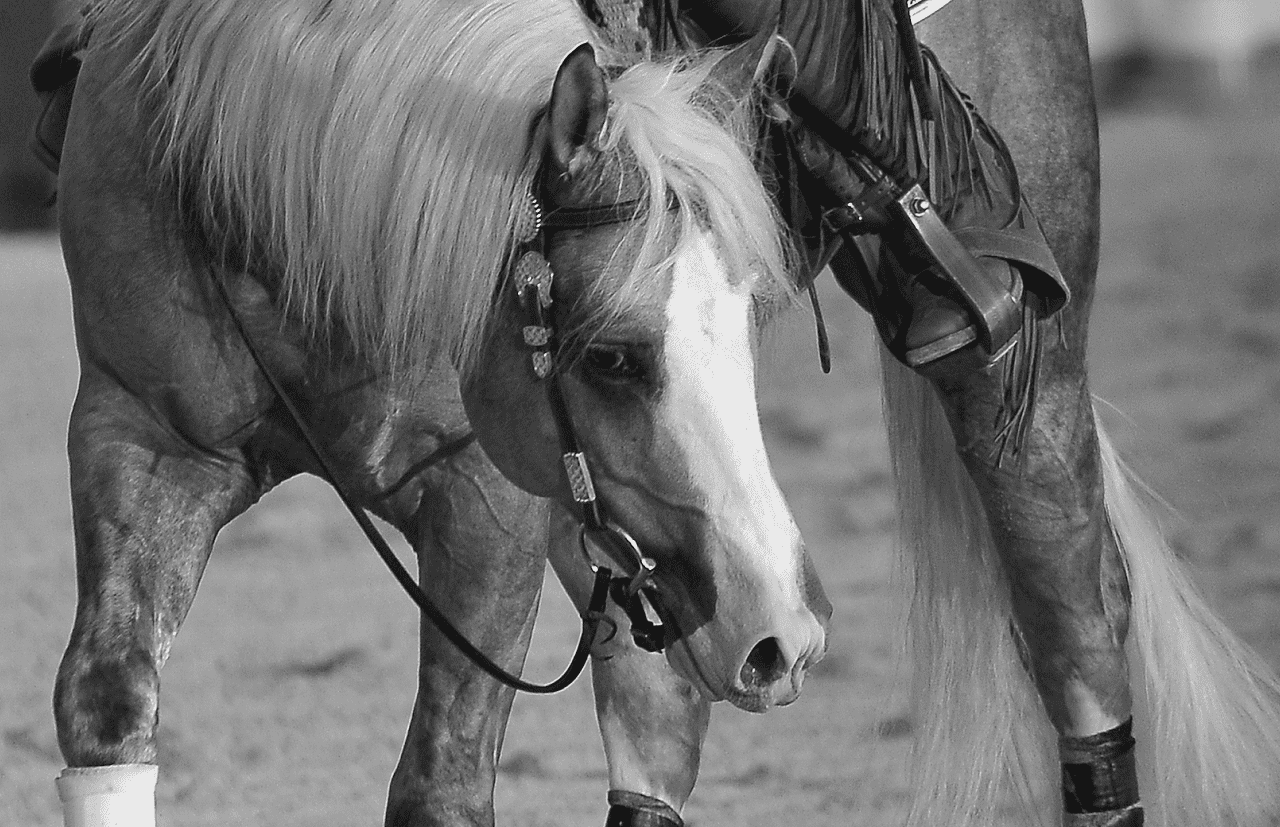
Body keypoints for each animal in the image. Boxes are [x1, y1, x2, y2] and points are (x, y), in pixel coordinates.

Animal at [47, 3, 829, 824]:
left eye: (750, 324)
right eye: (612, 357)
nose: (785, 632)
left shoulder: (485, 496)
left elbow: (443, 783)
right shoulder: (141, 439)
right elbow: (107, 702)